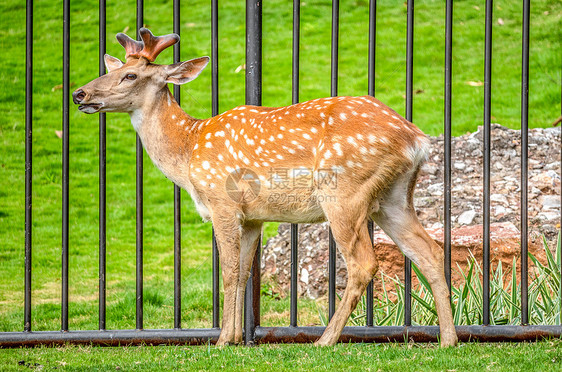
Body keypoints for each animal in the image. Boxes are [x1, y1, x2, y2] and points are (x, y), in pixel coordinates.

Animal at [72, 27, 458, 348]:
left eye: (130, 75)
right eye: (112, 68)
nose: (79, 93)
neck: (188, 149)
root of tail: (416, 139)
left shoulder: (222, 203)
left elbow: (228, 272)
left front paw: (221, 342)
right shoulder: (253, 217)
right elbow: (244, 272)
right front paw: (234, 337)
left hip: (344, 191)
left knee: (364, 263)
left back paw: (325, 341)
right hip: (393, 197)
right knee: (429, 251)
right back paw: (448, 340)